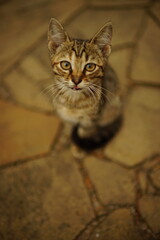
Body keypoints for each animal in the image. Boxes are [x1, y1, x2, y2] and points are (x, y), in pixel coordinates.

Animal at [47, 18, 121, 149]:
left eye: (90, 66)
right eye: (65, 64)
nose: (76, 80)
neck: (73, 101)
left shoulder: (90, 121)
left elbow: (83, 133)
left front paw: (77, 149)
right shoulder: (65, 116)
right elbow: (67, 128)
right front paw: (63, 141)